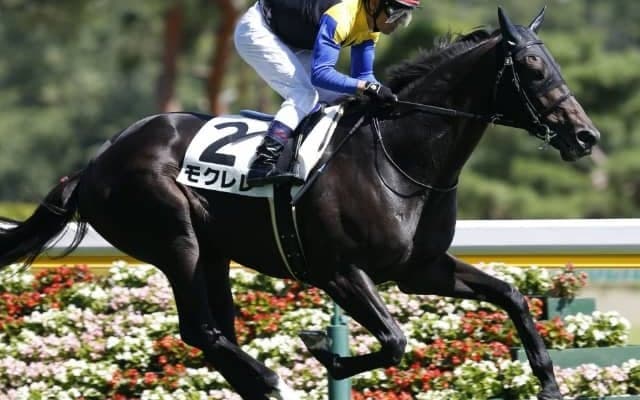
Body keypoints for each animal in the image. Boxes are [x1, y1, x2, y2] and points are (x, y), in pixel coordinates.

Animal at [0, 7, 598, 400]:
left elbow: (512, 296)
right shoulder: (339, 271)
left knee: (216, 333)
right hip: (175, 240)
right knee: (201, 330)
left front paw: (549, 384)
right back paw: (272, 380)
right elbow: (394, 340)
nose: (585, 136)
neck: (398, 158)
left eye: (557, 66)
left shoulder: (419, 269)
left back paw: (262, 385)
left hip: (213, 252)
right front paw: (318, 347)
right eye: (534, 70)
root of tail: (94, 165)